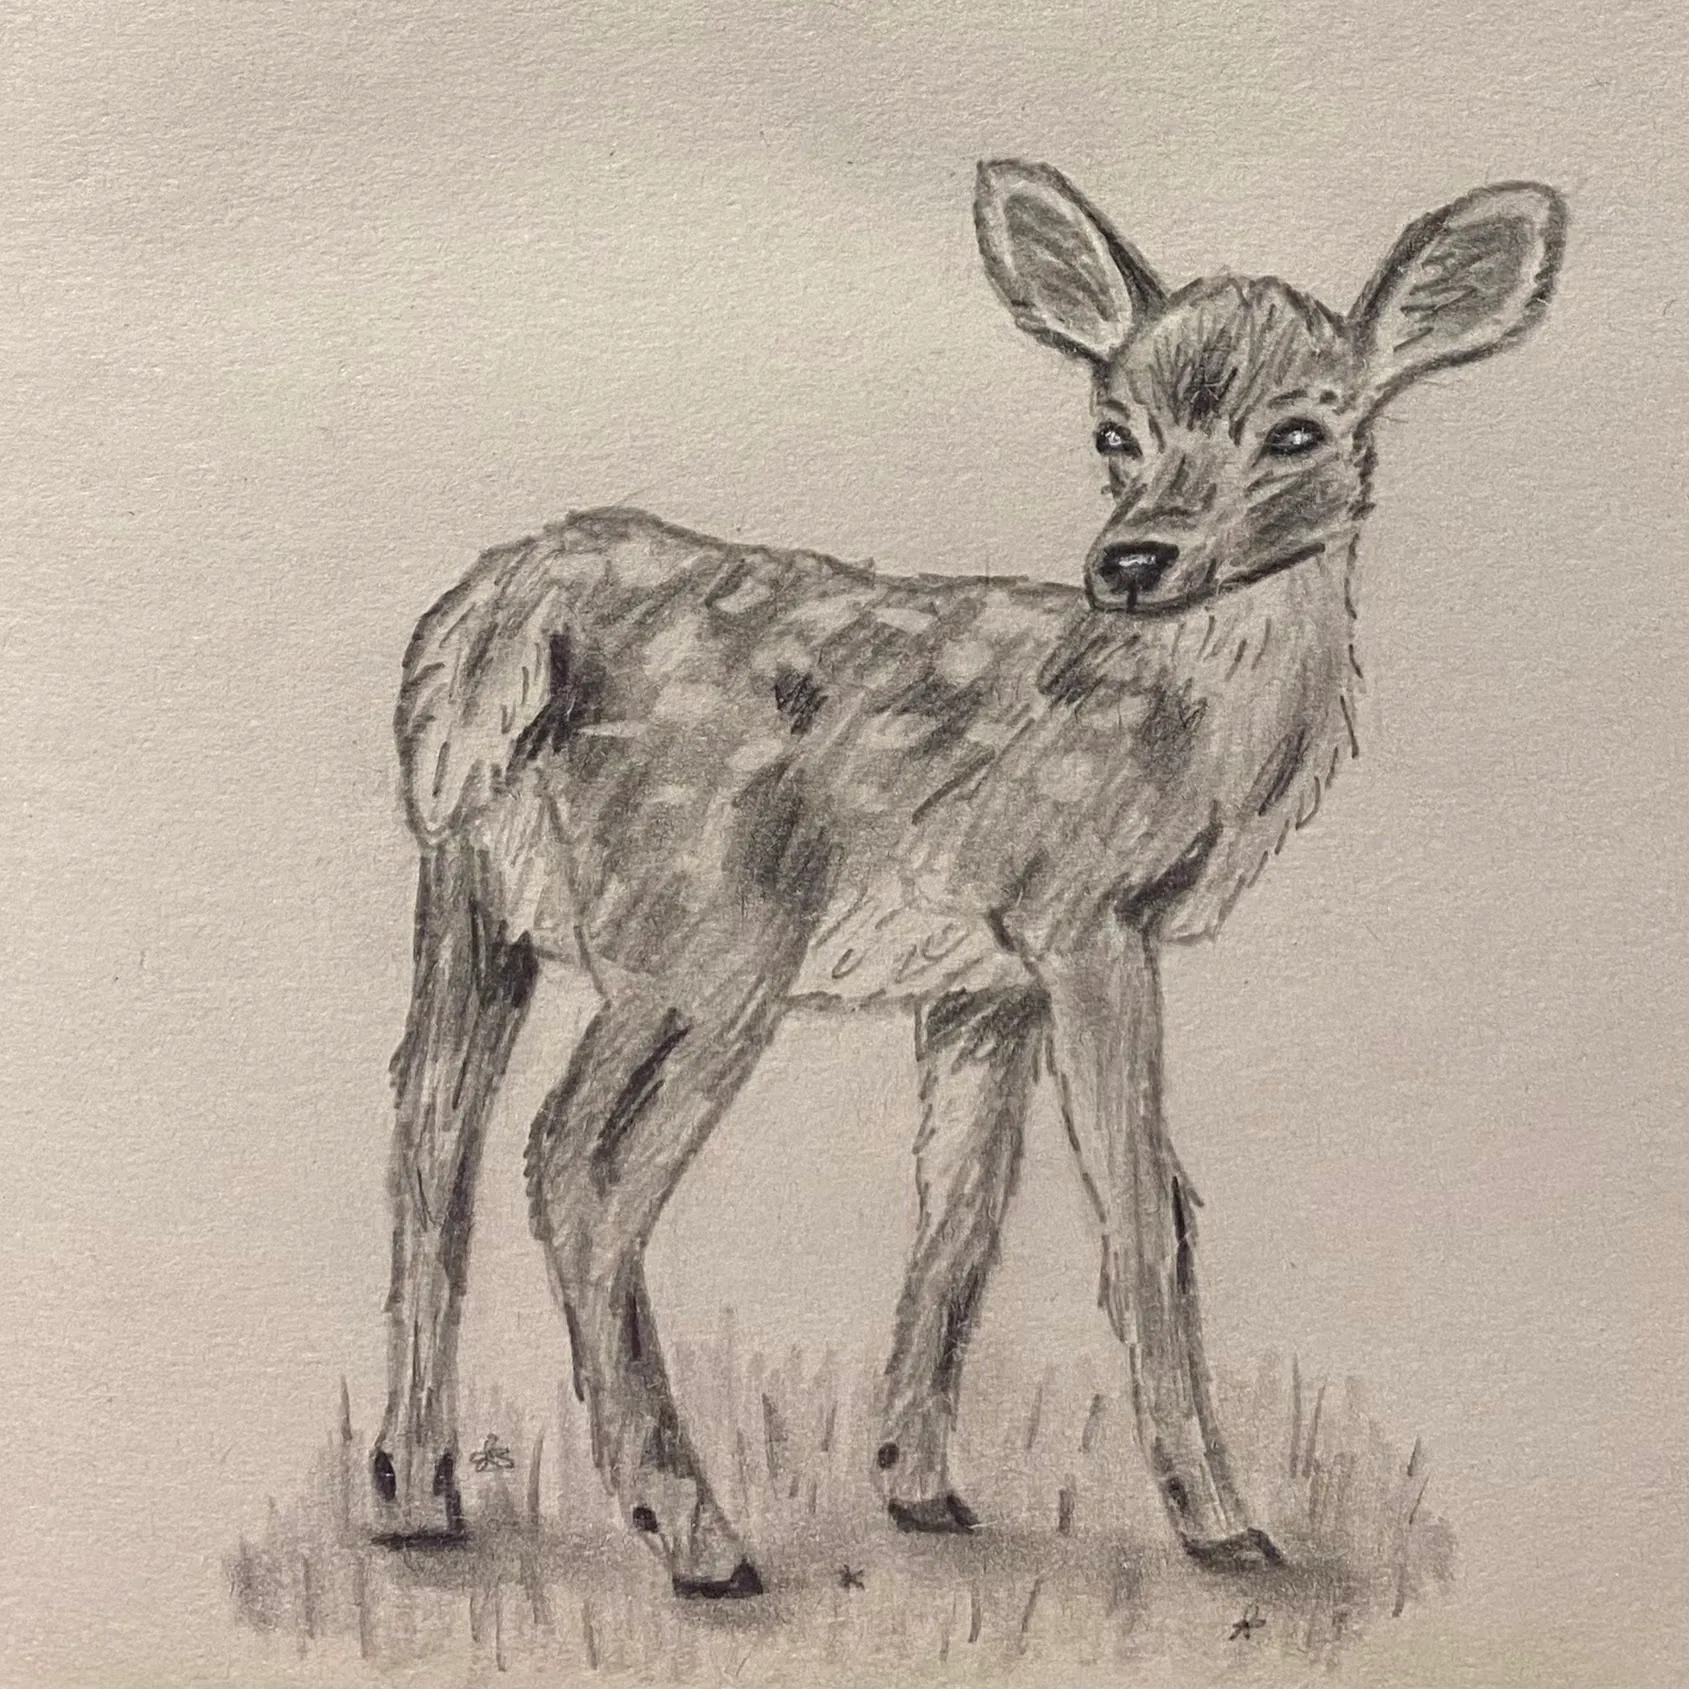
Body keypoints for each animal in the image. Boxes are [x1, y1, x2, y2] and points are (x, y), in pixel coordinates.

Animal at [369, 160, 1565, 1597]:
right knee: (575, 1165)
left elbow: (961, 1207)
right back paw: (697, 1534)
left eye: (1297, 431)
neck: (1190, 732)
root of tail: (499, 628)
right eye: (1113, 430)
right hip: (701, 931)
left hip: (469, 896)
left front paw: (920, 1486)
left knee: (430, 1131)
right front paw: (1224, 1521)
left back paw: (415, 1496)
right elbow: (1146, 1210)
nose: (1134, 560)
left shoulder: (979, 978)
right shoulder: (1083, 912)